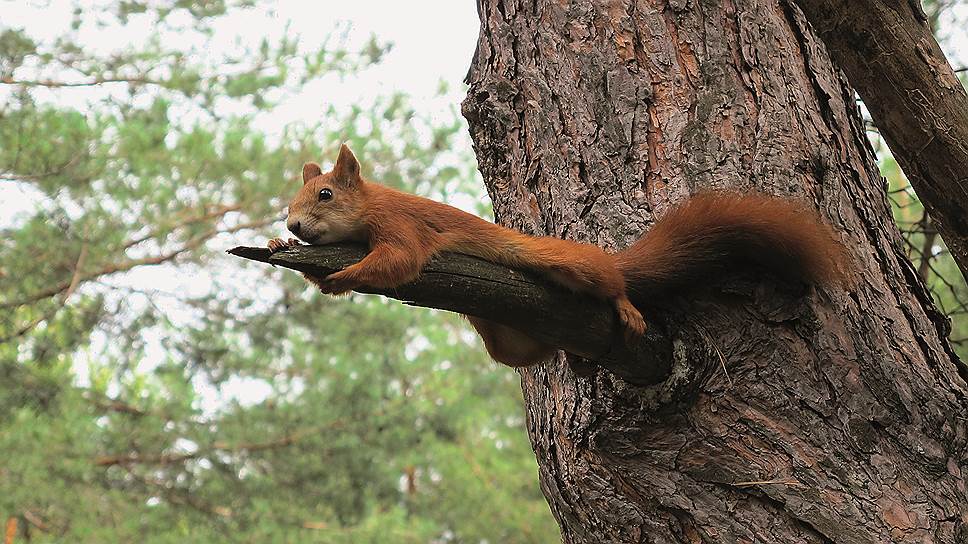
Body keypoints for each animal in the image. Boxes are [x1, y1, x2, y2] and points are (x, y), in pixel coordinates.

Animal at [268, 142, 852, 368]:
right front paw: (280, 248)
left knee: (613, 284)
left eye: (325, 195)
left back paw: (624, 304)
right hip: (509, 339)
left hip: (571, 265)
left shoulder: (402, 227)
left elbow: (400, 261)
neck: (372, 203)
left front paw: (343, 274)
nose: (292, 224)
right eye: (290, 203)